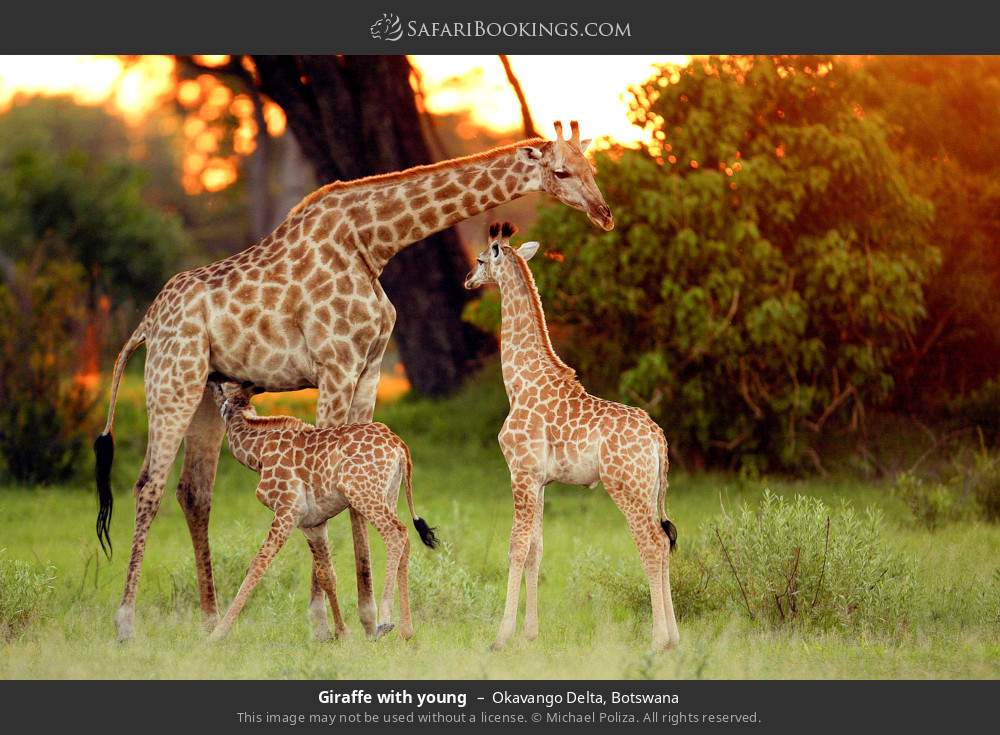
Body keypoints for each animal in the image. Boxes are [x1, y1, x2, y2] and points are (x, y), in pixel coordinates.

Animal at [204, 380, 437, 641]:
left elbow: (257, 564)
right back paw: (407, 631)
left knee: (396, 533)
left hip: (362, 492)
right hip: (389, 493)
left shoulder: (287, 509)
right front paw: (342, 634)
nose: (209, 382)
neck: (258, 453)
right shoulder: (311, 523)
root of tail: (400, 446)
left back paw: (385, 620)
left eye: (222, 385)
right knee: (405, 539)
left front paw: (216, 635)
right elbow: (327, 575)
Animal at [464, 222, 679, 651]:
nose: (467, 280)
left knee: (651, 543)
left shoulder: (521, 473)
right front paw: (530, 634)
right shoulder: (540, 481)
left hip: (625, 487)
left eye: (480, 259)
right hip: (650, 489)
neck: (518, 383)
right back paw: (675, 638)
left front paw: (501, 637)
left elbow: (515, 547)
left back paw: (658, 640)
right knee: (665, 542)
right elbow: (536, 549)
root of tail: (658, 439)